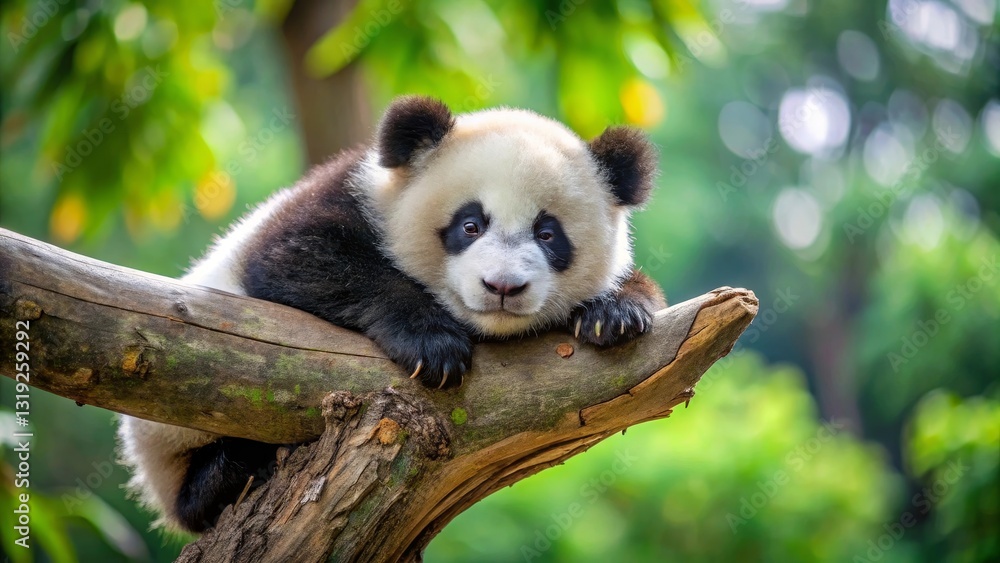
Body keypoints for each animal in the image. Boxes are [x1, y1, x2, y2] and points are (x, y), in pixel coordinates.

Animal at [118, 96, 666, 533]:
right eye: (470, 225)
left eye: (548, 234)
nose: (503, 287)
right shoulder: (341, 198)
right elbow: (297, 257)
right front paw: (435, 347)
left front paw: (614, 313)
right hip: (170, 434)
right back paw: (236, 469)